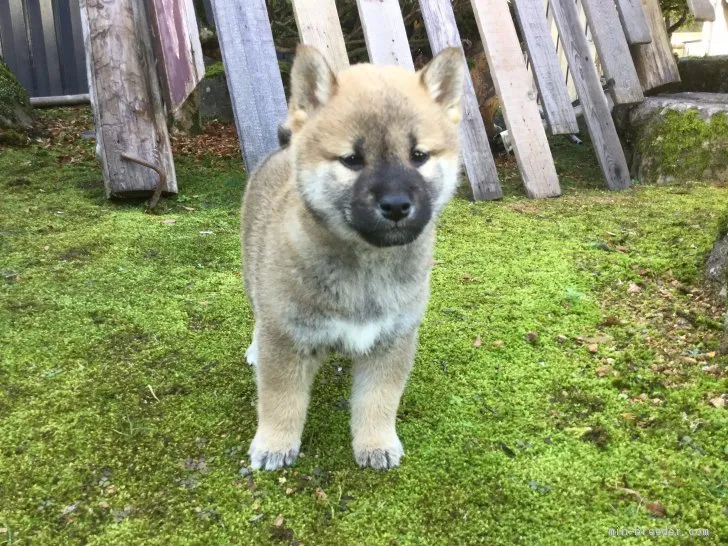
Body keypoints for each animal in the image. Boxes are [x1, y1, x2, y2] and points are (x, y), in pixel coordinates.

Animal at [242, 44, 464, 468]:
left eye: (418, 155)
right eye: (352, 160)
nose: (396, 205)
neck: (366, 265)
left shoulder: (392, 340)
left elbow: (378, 400)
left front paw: (375, 443)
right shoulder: (287, 337)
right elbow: (280, 400)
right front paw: (275, 444)